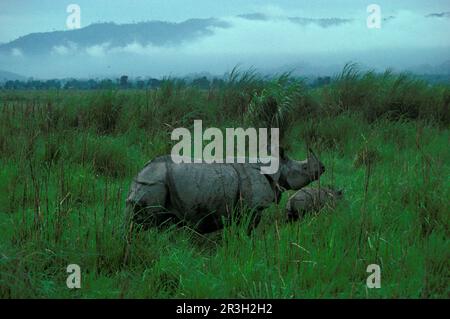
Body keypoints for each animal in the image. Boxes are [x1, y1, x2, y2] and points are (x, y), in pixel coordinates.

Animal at [125, 151, 324, 234]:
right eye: (305, 168)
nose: (322, 168)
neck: (279, 168)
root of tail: (141, 172)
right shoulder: (253, 208)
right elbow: (248, 229)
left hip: (151, 182)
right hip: (154, 183)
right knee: (147, 220)